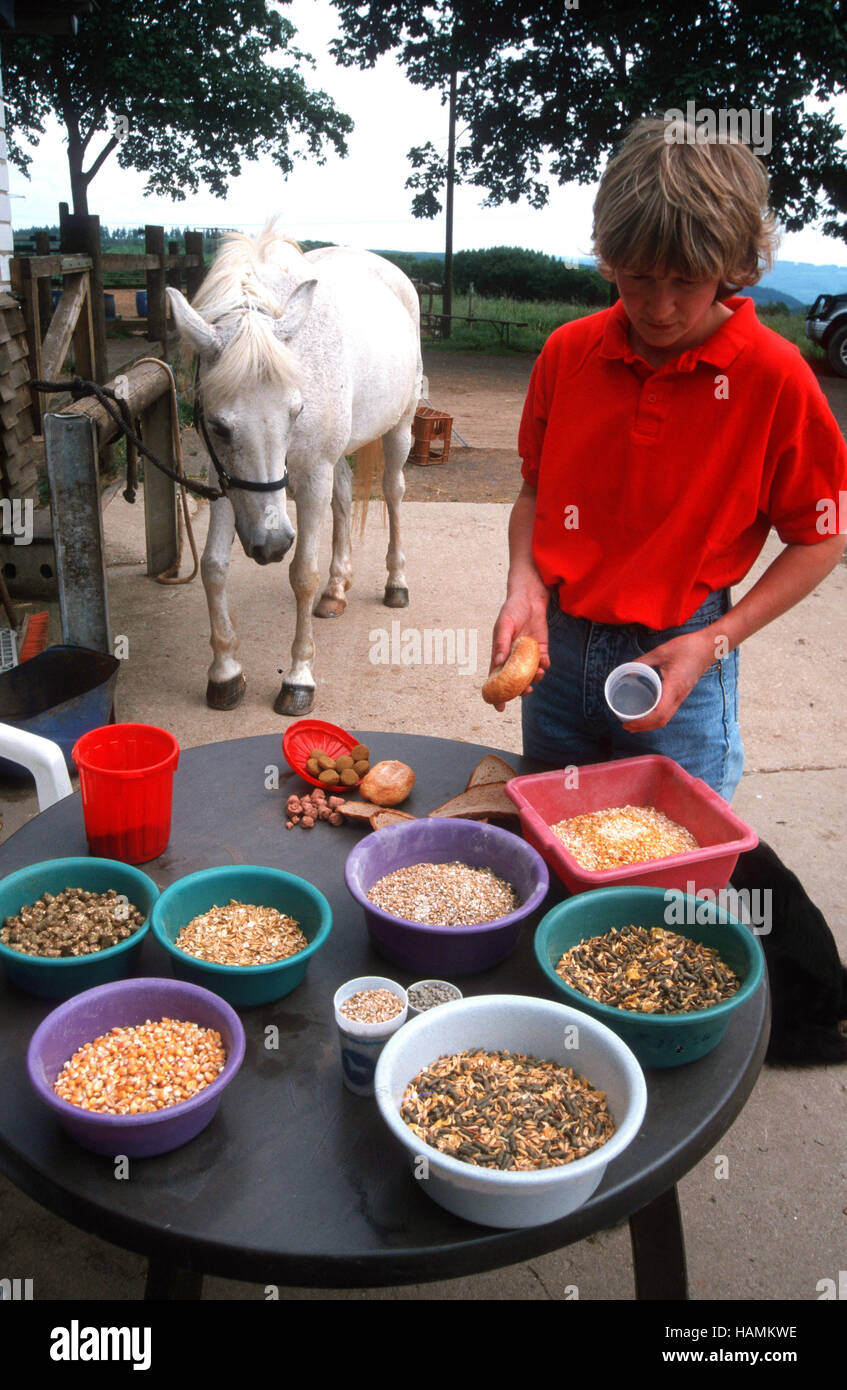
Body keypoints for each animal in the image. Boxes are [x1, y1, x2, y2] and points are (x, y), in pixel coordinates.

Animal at [165, 225, 420, 717]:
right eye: (219, 426)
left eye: (295, 411)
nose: (271, 544)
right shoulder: (224, 481)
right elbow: (214, 566)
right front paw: (225, 671)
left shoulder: (312, 473)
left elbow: (303, 573)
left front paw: (299, 679)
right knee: (344, 500)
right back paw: (337, 589)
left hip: (399, 427)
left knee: (394, 493)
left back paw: (396, 583)